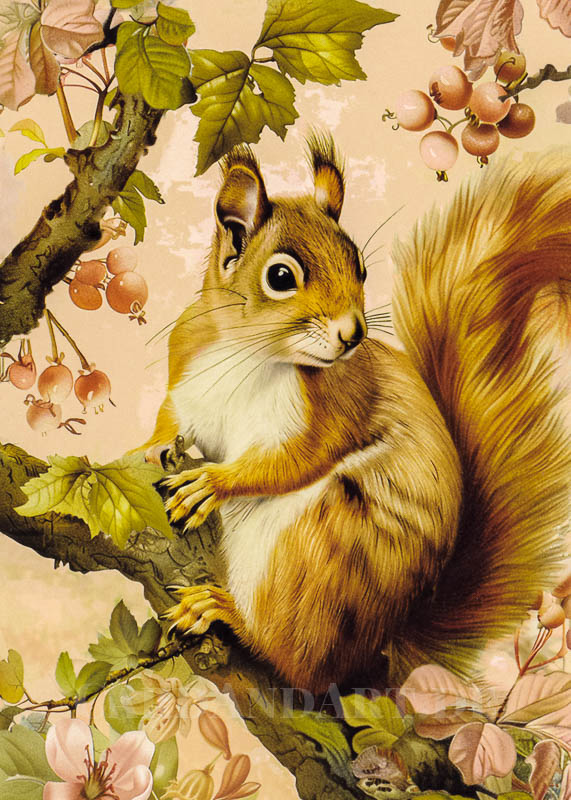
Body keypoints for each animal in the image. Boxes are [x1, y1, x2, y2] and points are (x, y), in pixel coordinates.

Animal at [144, 136, 571, 693]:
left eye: (361, 269)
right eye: (280, 277)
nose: (353, 334)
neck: (248, 351)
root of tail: (385, 638)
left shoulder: (331, 407)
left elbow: (293, 461)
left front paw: (212, 483)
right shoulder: (188, 381)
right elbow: (172, 418)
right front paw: (150, 446)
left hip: (324, 548)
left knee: (301, 666)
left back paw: (227, 614)